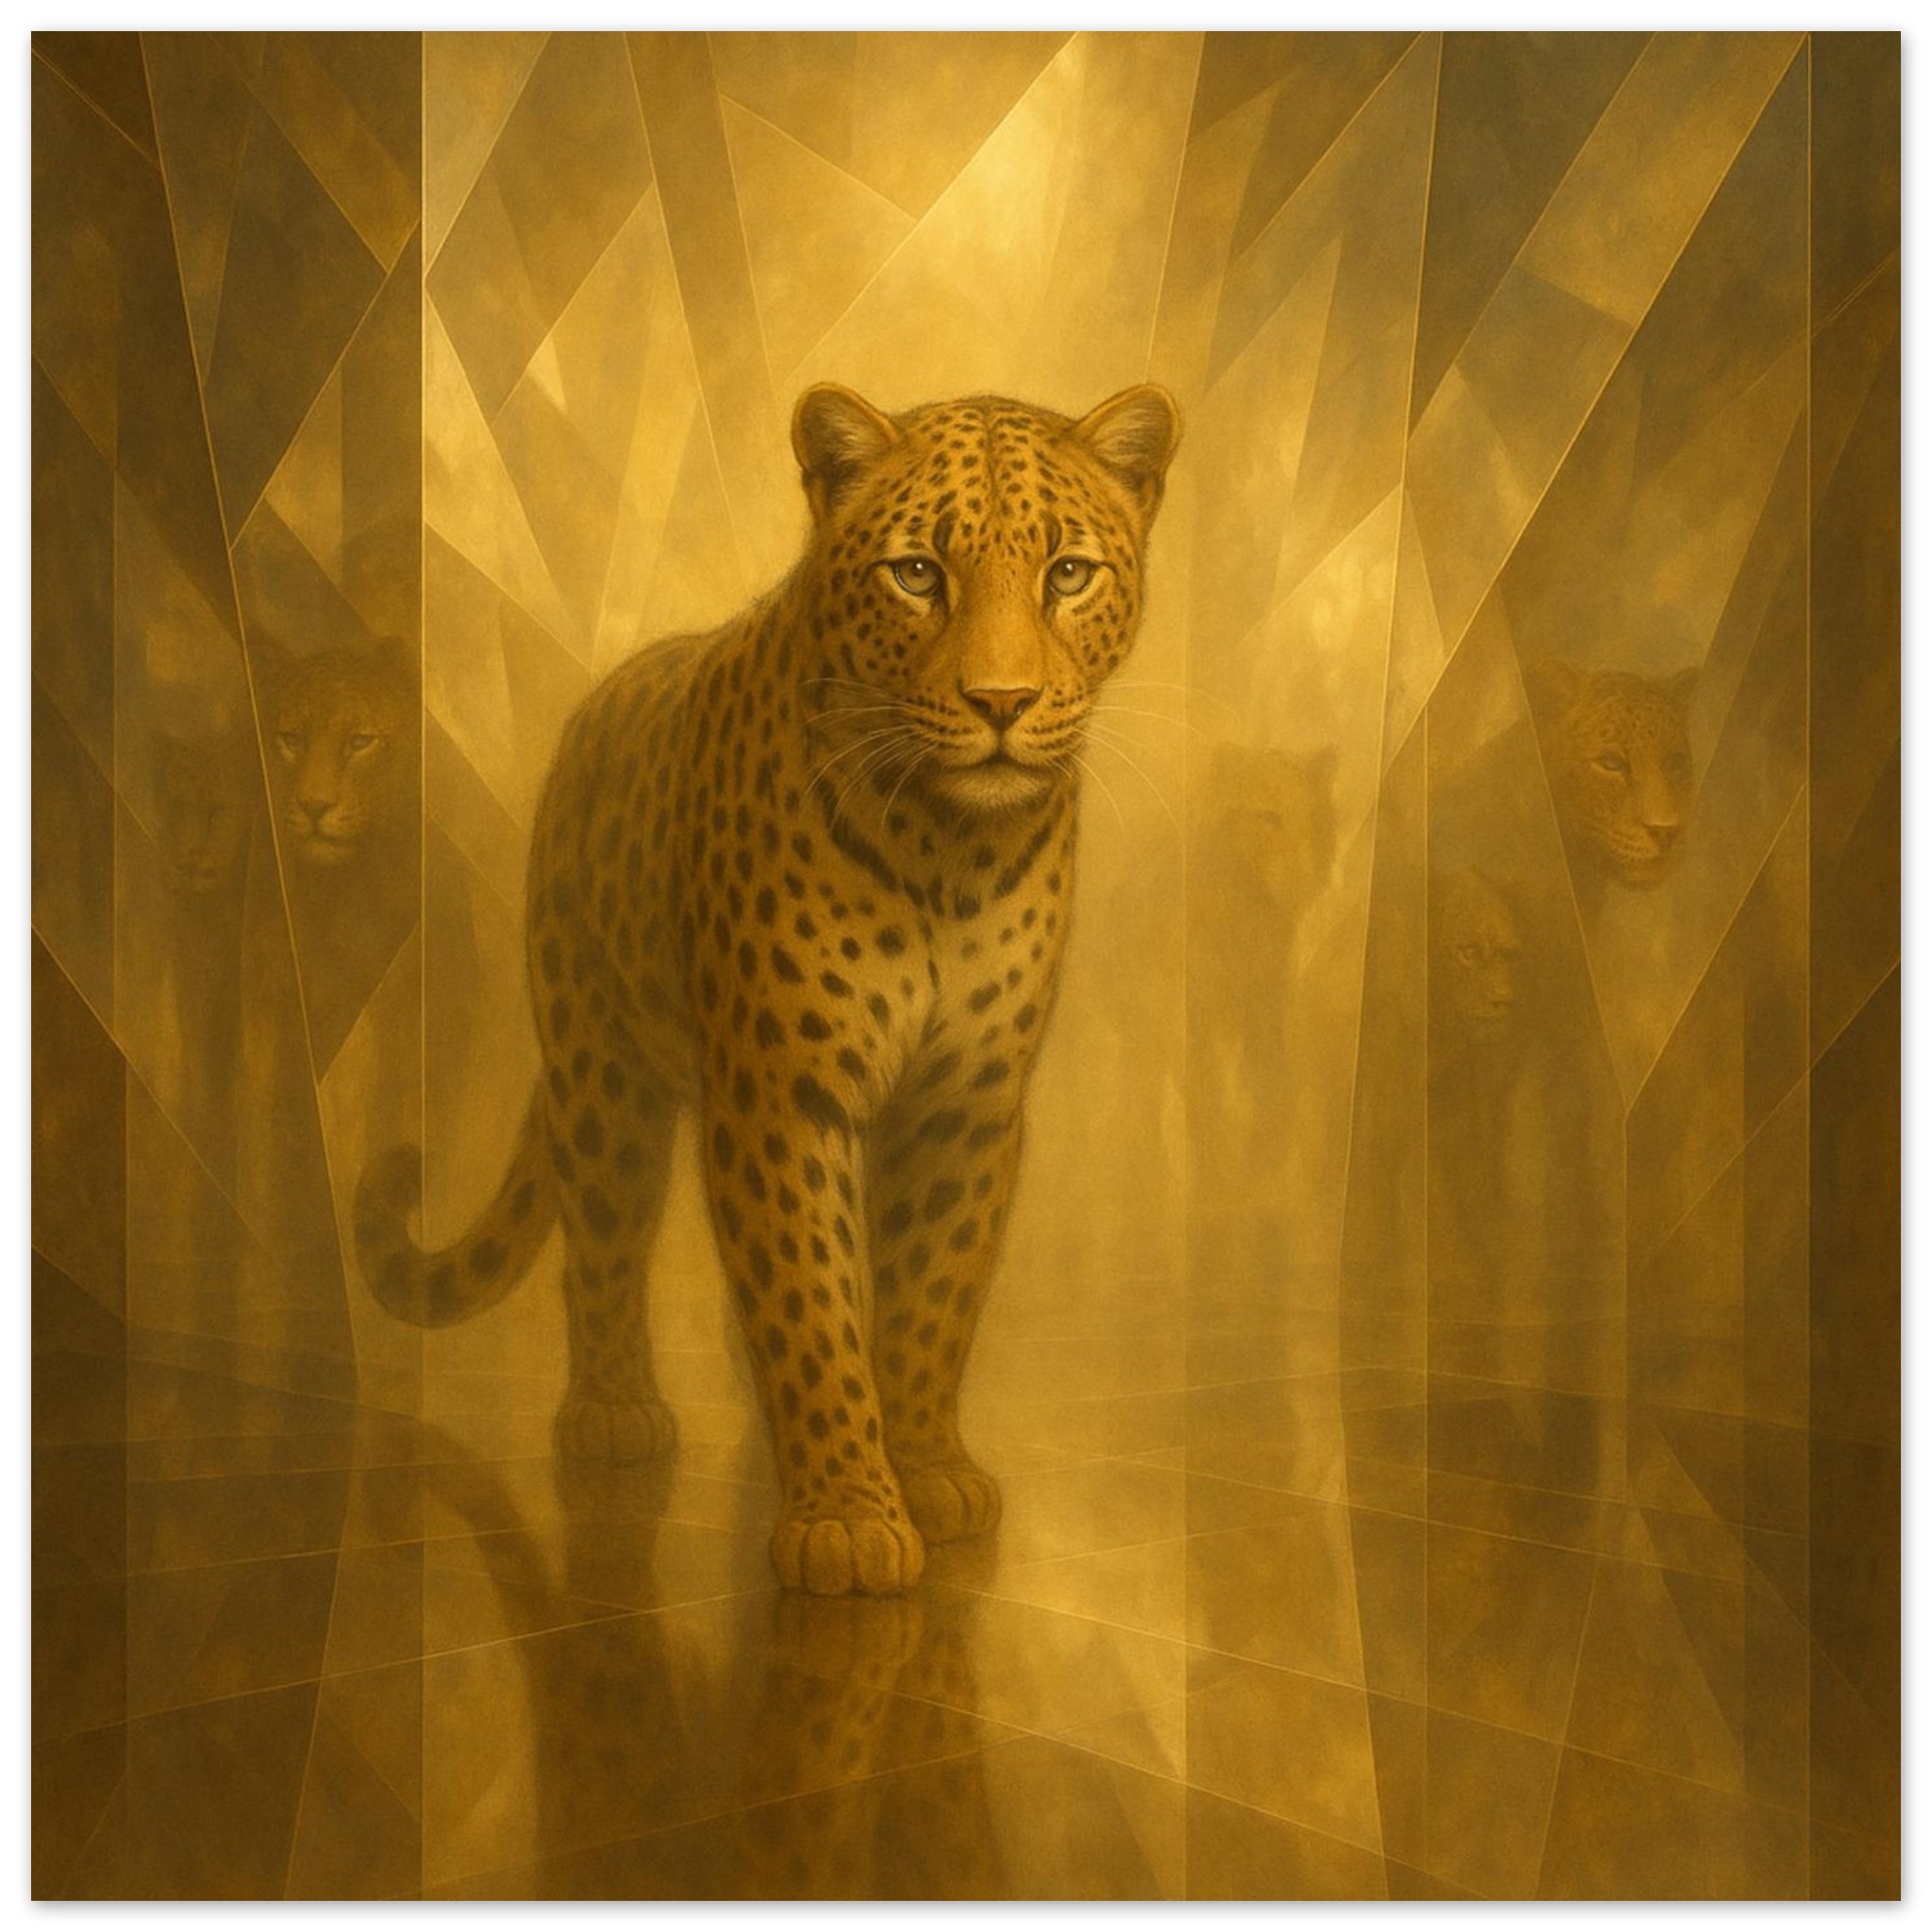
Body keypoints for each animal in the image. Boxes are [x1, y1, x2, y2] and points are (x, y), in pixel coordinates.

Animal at [356, 381, 1181, 1596]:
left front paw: (922, 1468)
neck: (947, 848)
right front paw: (845, 1516)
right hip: (599, 1066)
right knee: (603, 1234)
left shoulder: (967, 1100)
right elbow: (804, 1293)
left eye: (1066, 572)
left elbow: (929, 1295)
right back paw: (613, 1412)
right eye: (917, 572)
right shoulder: (779, 1089)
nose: (1000, 699)